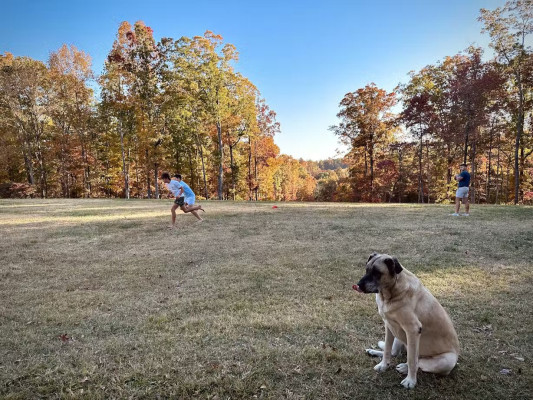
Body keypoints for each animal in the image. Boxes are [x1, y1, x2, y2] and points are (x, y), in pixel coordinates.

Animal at [352, 253, 460, 388]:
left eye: (377, 273)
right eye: (367, 270)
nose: (358, 285)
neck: (390, 294)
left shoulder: (413, 330)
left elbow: (412, 359)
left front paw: (410, 381)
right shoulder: (389, 325)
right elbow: (387, 349)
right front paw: (383, 365)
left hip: (447, 360)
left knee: (420, 362)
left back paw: (404, 367)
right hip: (398, 334)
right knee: (395, 352)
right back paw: (373, 352)